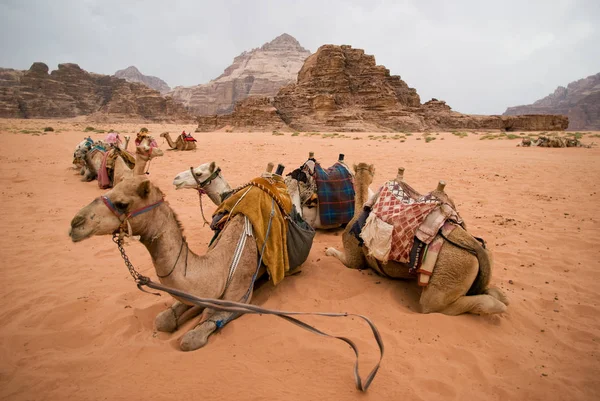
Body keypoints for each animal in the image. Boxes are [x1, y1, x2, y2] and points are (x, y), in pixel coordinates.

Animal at [69, 176, 262, 350]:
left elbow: (191, 338)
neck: (224, 262)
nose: (75, 223)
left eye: (122, 203)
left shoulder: (241, 299)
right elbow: (163, 320)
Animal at [326, 162, 508, 316]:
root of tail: (475, 247)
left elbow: (348, 260)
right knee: (495, 293)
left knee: (435, 305)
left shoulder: (353, 254)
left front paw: (328, 250)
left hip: (450, 274)